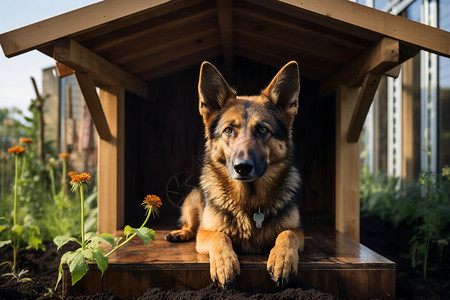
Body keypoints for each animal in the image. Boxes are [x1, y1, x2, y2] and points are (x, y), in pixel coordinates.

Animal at [163, 61, 304, 288]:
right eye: (228, 130)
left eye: (263, 130)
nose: (242, 167)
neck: (249, 201)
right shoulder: (205, 233)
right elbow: (219, 237)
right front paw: (224, 263)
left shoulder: (299, 232)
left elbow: (287, 233)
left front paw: (283, 259)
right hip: (192, 199)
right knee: (191, 226)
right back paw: (180, 233)